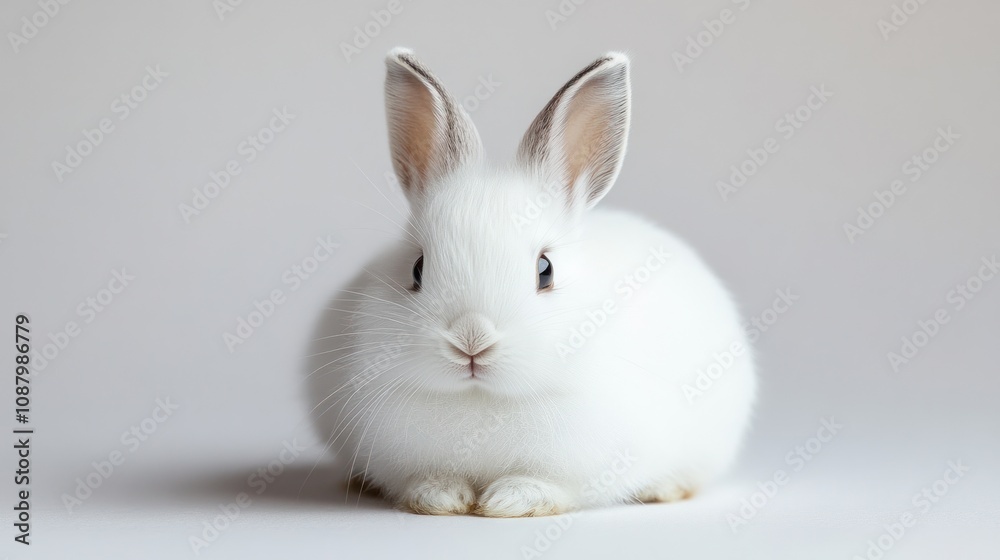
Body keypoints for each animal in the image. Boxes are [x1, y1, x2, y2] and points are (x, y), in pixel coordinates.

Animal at [306, 47, 756, 517]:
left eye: (546, 270)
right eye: (417, 268)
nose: (472, 340)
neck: (483, 400)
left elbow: (553, 486)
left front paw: (509, 501)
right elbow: (425, 480)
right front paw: (441, 498)